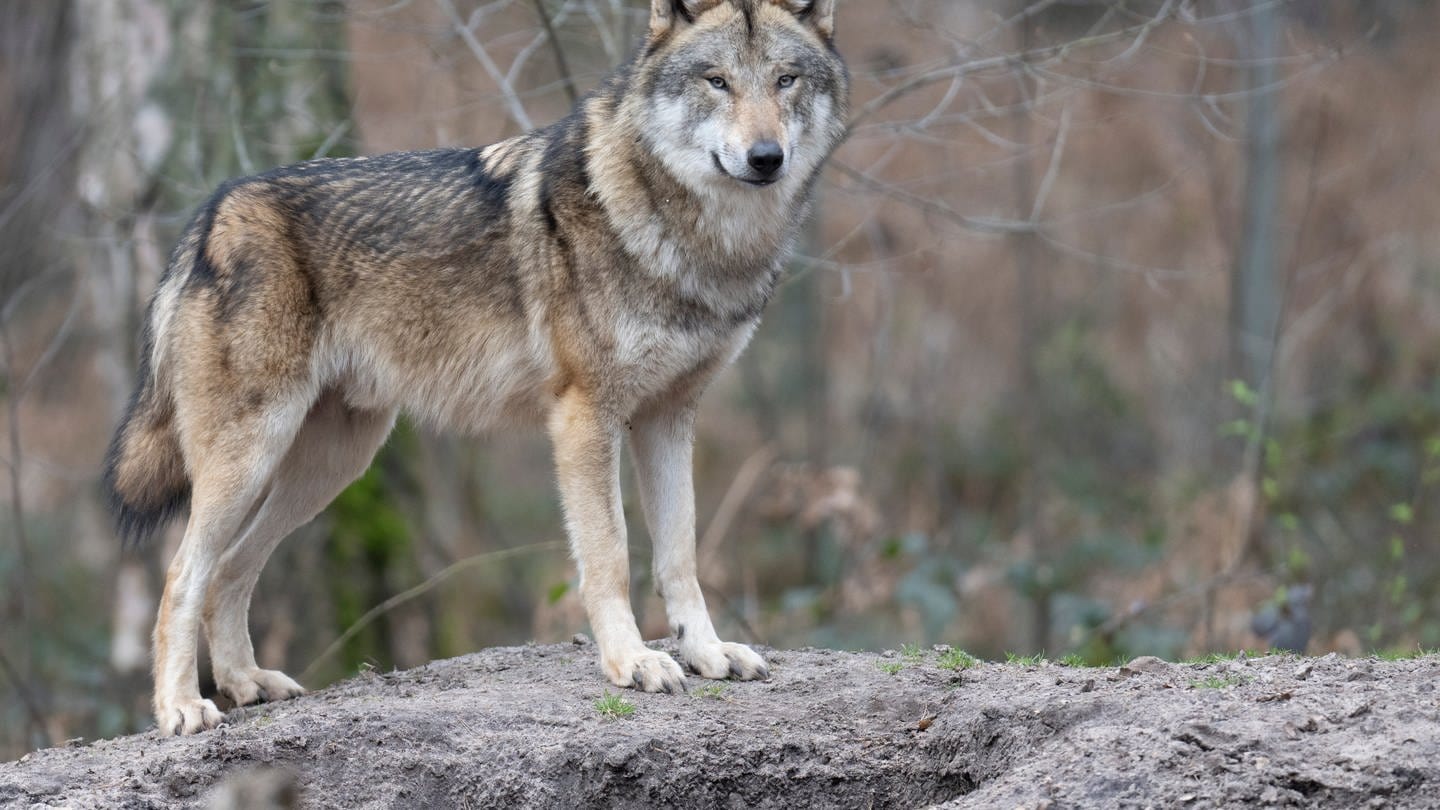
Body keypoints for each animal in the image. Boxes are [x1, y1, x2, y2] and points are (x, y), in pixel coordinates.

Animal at [106, 0, 846, 732]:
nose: (766, 157)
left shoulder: (669, 417)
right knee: (183, 576)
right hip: (254, 457)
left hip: (330, 466)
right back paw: (181, 707)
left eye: (785, 80)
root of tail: (212, 212)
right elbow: (610, 555)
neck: (695, 242)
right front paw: (632, 662)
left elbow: (679, 554)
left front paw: (707, 652)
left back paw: (247, 682)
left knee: (230, 571)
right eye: (717, 81)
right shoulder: (586, 416)